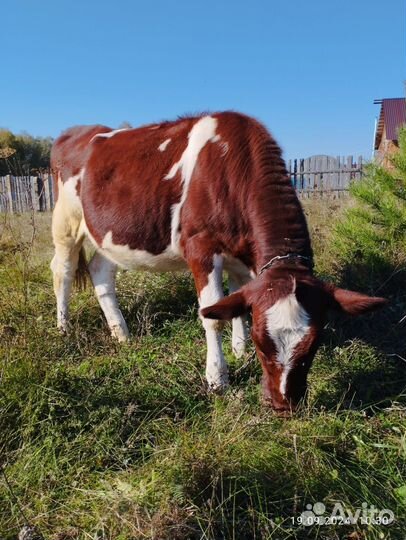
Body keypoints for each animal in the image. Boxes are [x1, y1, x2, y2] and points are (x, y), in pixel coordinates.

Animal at [49, 112, 386, 412]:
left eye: (313, 345)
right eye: (263, 344)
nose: (284, 405)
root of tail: (78, 131)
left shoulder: (240, 257)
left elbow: (236, 303)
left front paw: (238, 351)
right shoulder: (201, 247)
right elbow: (212, 316)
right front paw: (217, 378)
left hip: (107, 235)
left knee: (100, 272)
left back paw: (122, 334)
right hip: (66, 221)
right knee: (62, 270)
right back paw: (64, 328)